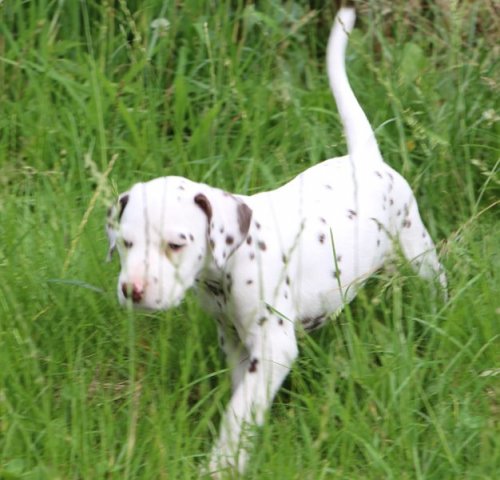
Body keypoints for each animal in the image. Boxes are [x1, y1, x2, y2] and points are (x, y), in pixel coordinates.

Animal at [106, 7, 447, 477]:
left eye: (175, 244)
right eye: (125, 244)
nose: (132, 291)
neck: (229, 265)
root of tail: (366, 158)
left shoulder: (273, 347)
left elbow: (238, 413)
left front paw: (223, 464)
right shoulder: (234, 341)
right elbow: (241, 399)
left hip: (416, 246)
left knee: (435, 280)